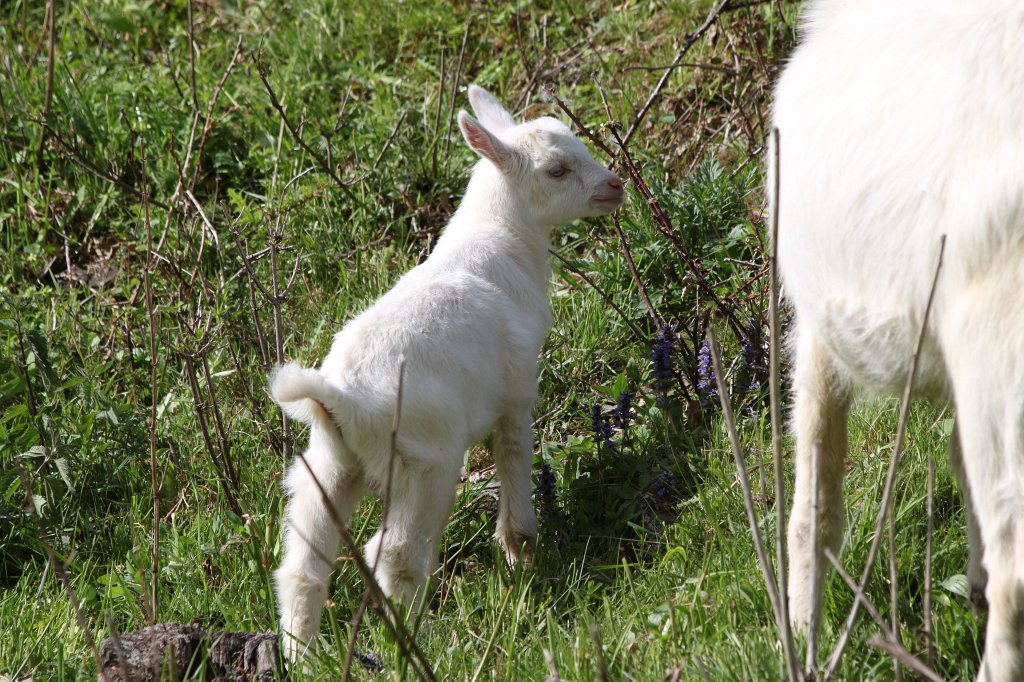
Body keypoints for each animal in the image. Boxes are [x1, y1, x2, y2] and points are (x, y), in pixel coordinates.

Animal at [269, 85, 624, 660]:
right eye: (556, 170)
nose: (615, 186)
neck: (500, 242)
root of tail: (342, 398)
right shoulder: (518, 385)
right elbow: (514, 454)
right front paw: (520, 550)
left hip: (327, 465)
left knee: (302, 566)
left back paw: (302, 655)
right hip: (424, 460)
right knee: (394, 552)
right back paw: (419, 641)